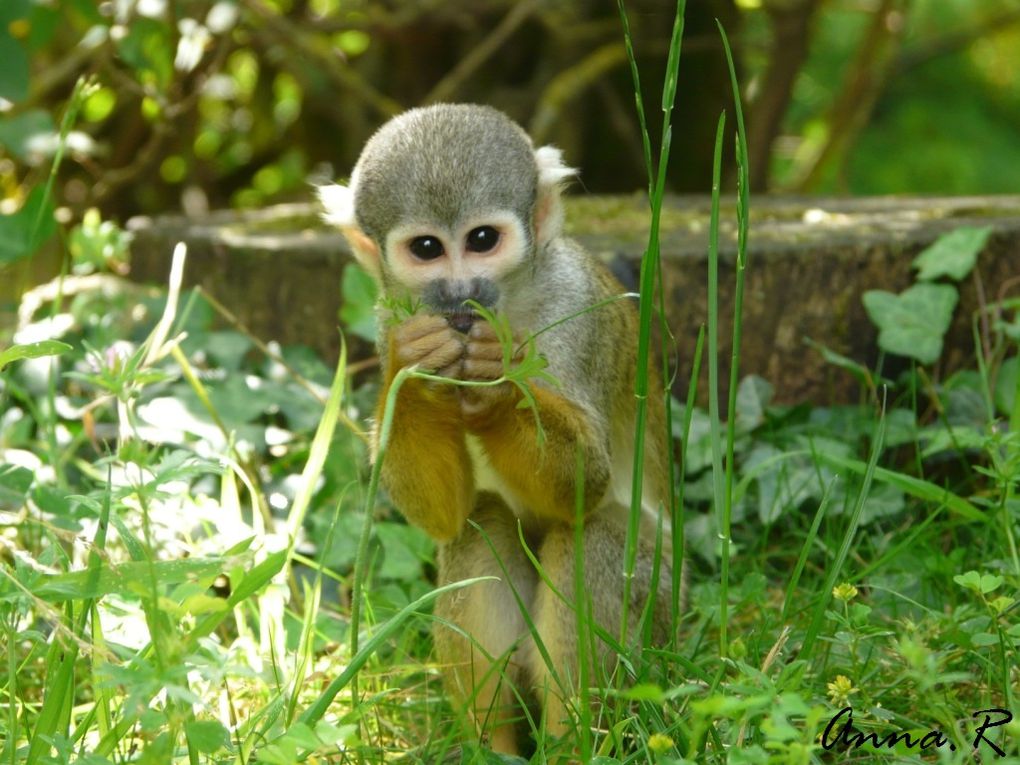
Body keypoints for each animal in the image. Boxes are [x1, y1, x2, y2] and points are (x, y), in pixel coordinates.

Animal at [318, 105, 677, 758]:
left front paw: (495, 382)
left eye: (482, 240)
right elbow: (444, 513)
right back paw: (494, 746)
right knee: (479, 525)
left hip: (663, 618)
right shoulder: (389, 318)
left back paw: (573, 744)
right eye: (428, 249)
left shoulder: (575, 306)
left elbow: (585, 482)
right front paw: (420, 374)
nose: (461, 293)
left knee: (599, 536)